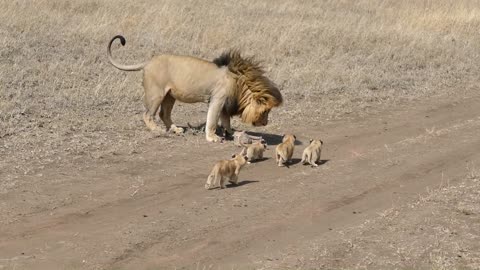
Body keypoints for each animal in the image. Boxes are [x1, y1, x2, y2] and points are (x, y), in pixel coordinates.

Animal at [107, 34, 284, 142]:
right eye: (266, 111)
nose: (266, 123)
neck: (240, 84)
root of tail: (148, 62)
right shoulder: (217, 99)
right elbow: (212, 120)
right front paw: (213, 137)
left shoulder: (225, 104)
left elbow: (225, 120)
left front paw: (231, 133)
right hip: (156, 93)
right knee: (147, 115)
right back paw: (157, 130)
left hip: (170, 95)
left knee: (164, 114)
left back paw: (176, 129)